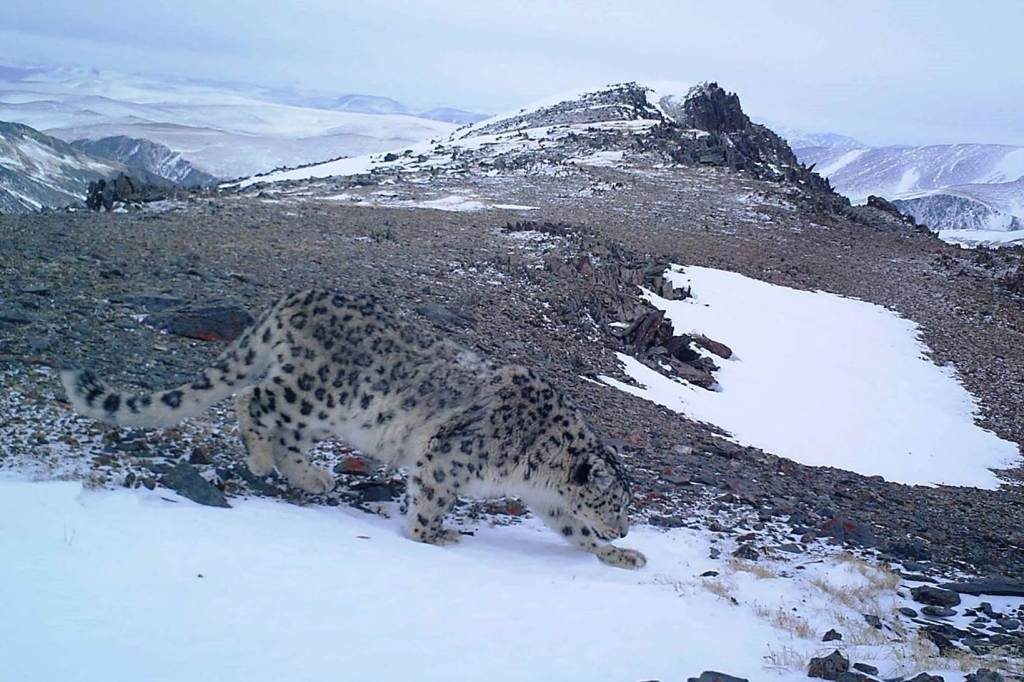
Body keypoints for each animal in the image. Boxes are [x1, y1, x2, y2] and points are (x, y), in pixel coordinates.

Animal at [59, 288, 643, 569]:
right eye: (614, 503)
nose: (624, 530)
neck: (538, 471)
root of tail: (293, 298)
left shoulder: (547, 502)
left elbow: (575, 532)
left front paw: (617, 556)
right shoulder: (448, 456)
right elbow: (430, 501)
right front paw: (433, 535)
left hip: (321, 411)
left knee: (287, 432)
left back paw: (311, 478)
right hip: (319, 391)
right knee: (255, 398)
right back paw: (260, 460)